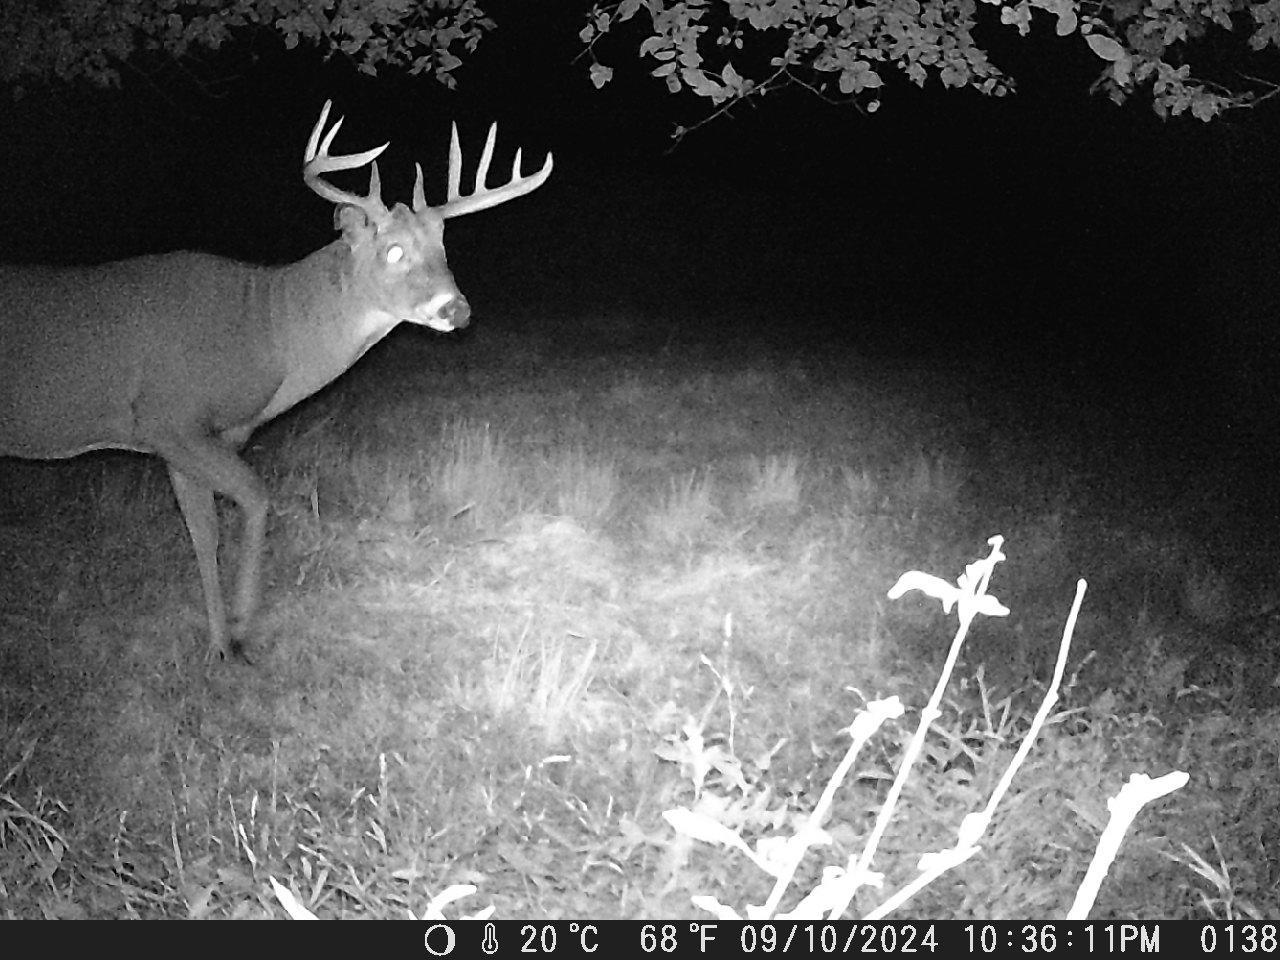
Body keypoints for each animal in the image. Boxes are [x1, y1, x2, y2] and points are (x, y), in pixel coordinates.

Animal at [0, 101, 553, 662]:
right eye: (394, 251)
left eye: (442, 247)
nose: (456, 309)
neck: (267, 332)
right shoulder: (168, 417)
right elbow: (253, 501)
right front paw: (241, 631)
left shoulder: (201, 436)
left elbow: (205, 530)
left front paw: (221, 641)